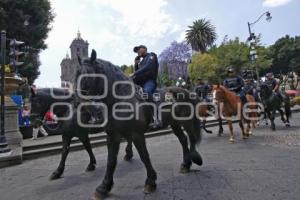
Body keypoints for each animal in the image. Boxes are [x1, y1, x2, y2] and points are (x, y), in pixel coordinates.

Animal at [75, 49, 203, 198]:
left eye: (87, 75)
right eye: (76, 74)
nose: (78, 103)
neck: (120, 99)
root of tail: (185, 91)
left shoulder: (137, 134)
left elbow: (144, 156)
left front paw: (150, 182)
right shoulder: (113, 136)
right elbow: (111, 160)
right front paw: (104, 187)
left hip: (186, 121)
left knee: (191, 138)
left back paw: (195, 158)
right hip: (175, 124)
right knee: (183, 139)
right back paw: (186, 164)